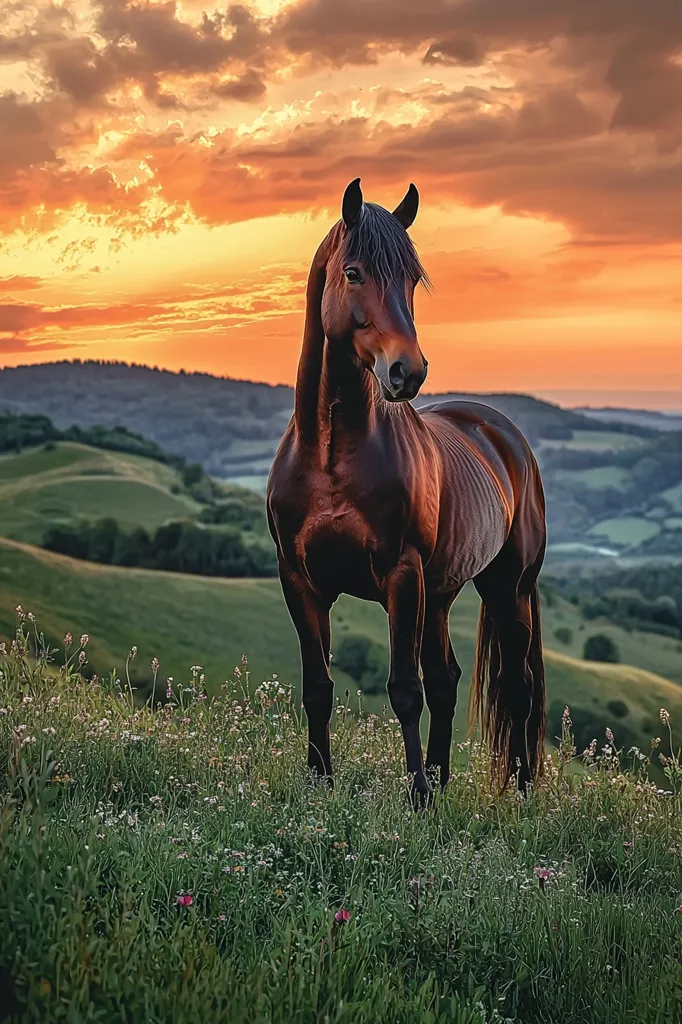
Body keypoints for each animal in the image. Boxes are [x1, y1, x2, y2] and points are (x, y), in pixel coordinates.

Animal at [266, 178, 547, 798]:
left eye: (412, 281)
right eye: (353, 273)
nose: (408, 372)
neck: (331, 456)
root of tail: (505, 435)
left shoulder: (401, 575)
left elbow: (403, 691)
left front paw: (416, 796)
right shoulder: (299, 580)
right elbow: (318, 685)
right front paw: (320, 782)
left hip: (506, 587)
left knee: (515, 687)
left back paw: (516, 793)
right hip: (440, 593)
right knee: (447, 678)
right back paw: (443, 781)